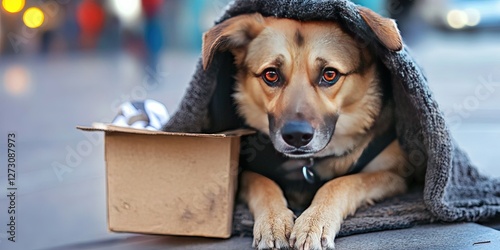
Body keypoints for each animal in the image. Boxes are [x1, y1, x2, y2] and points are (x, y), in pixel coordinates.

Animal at [201, 6, 412, 249]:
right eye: (271, 75)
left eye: (329, 74)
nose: (297, 136)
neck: (308, 163)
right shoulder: (244, 173)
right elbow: (263, 183)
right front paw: (272, 222)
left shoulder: (395, 175)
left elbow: (342, 182)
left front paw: (314, 222)